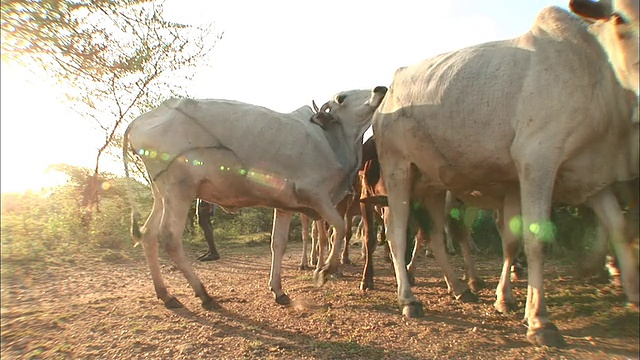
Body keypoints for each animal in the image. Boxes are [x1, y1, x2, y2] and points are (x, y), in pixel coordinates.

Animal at [122, 87, 388, 310]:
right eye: (342, 97)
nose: (380, 89)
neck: (331, 140)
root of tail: (138, 121)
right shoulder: (316, 196)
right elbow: (338, 230)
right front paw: (324, 271)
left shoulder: (285, 205)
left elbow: (278, 244)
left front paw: (278, 290)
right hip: (180, 189)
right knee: (169, 237)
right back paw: (203, 294)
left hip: (161, 193)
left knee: (148, 235)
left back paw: (166, 294)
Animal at [372, 6, 636, 348]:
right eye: (621, 21)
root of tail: (389, 92)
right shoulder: (537, 163)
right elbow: (535, 239)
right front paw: (539, 321)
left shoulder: (592, 177)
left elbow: (619, 230)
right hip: (399, 169)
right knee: (397, 231)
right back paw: (409, 299)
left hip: (433, 184)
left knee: (434, 234)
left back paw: (460, 288)